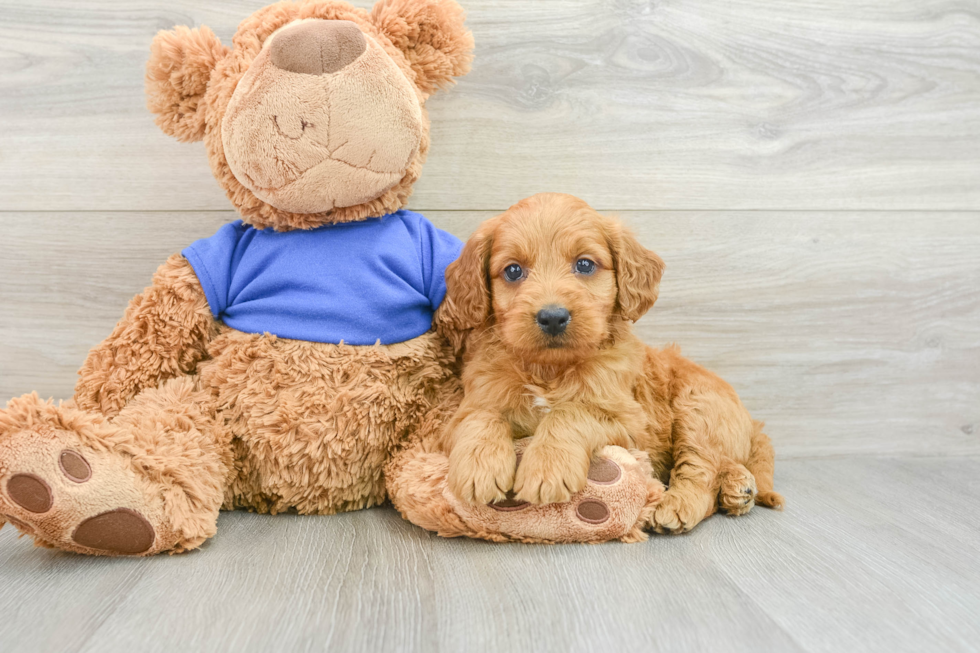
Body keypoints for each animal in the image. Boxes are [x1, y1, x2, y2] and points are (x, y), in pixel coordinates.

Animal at [440, 191, 784, 532]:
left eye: (584, 265)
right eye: (513, 271)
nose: (552, 317)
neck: (551, 369)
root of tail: (753, 424)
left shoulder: (634, 426)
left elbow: (571, 412)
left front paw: (547, 467)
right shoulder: (469, 406)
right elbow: (481, 417)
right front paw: (479, 468)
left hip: (699, 410)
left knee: (702, 472)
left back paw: (678, 505)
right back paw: (738, 488)